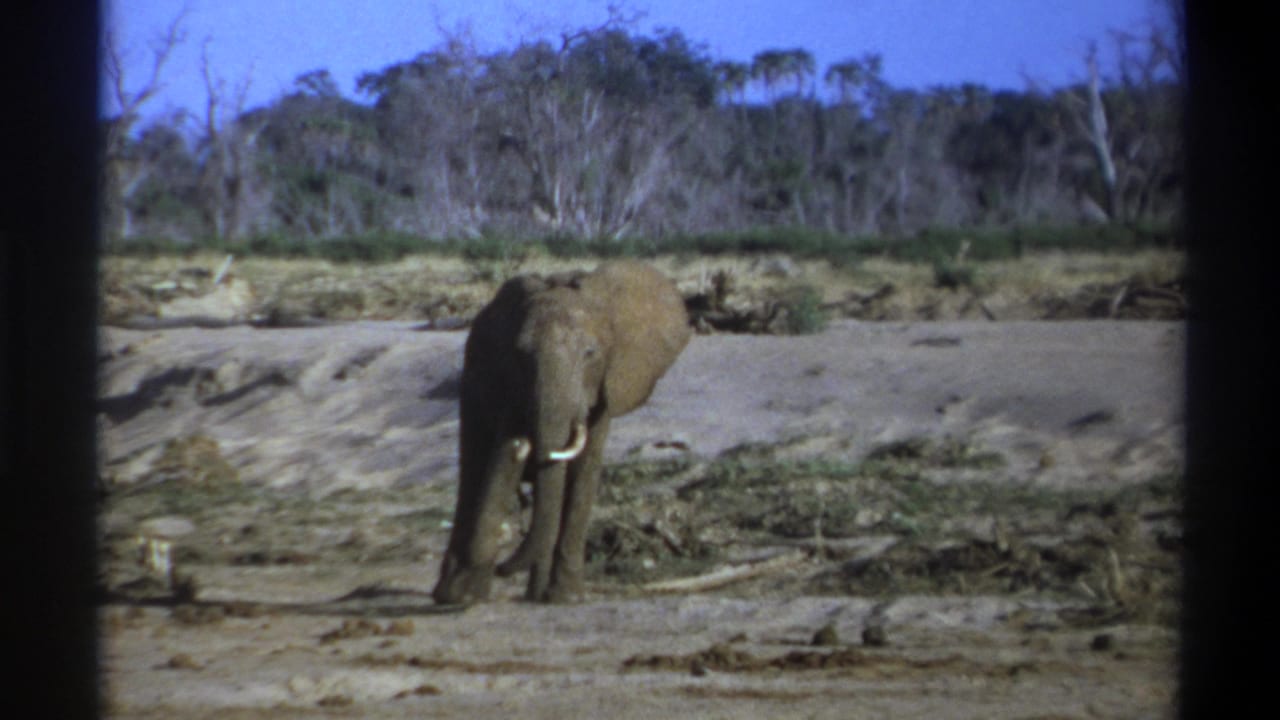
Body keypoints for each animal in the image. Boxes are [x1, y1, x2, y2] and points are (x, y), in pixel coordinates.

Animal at [432, 261, 692, 604]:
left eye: (590, 353)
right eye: (520, 354)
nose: (502, 567)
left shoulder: (605, 390)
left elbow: (584, 472)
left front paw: (565, 597)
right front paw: (469, 595)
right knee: (473, 468)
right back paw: (454, 594)